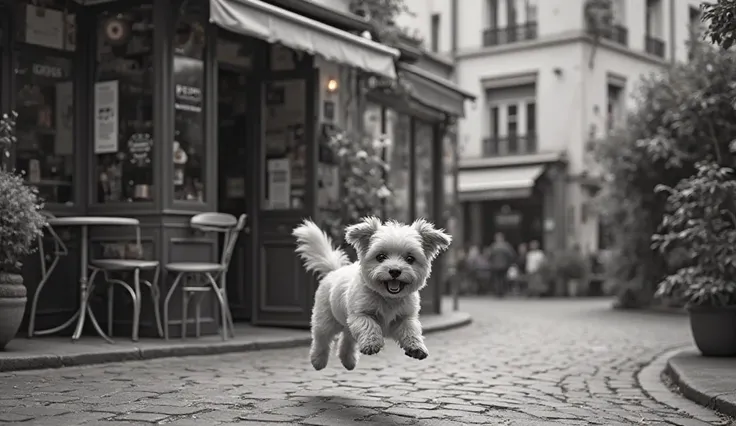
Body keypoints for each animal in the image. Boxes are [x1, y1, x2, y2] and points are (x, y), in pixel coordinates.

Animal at [290, 216, 452, 370]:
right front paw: (372, 343)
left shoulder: (404, 317)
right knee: (321, 339)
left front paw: (416, 347)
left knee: (347, 339)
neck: (388, 298)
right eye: (380, 257)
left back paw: (348, 361)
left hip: (346, 325)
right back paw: (318, 360)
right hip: (325, 320)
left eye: (410, 259)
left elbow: (411, 329)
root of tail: (334, 271)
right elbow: (369, 325)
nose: (395, 271)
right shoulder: (360, 315)